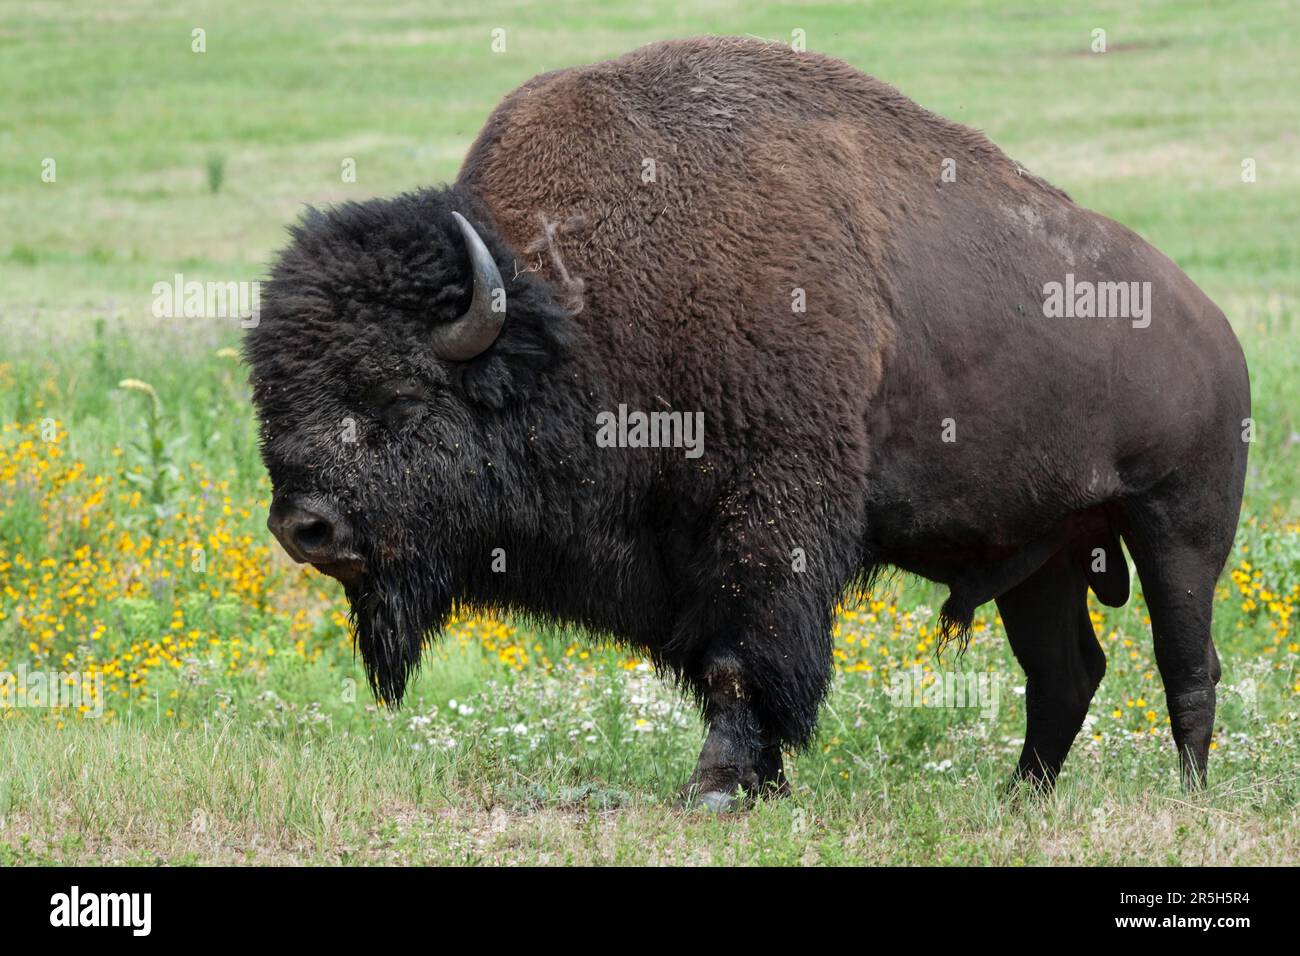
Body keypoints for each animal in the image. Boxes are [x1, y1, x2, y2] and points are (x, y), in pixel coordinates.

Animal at [244, 35, 1248, 806]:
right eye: (270, 392)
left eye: (393, 394)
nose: (304, 527)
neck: (574, 315)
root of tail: (1214, 328)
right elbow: (719, 665)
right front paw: (755, 782)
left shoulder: (764, 525)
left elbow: (741, 659)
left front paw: (718, 788)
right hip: (1040, 556)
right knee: (1064, 673)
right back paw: (1019, 800)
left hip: (1177, 526)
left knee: (1185, 659)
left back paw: (1188, 796)